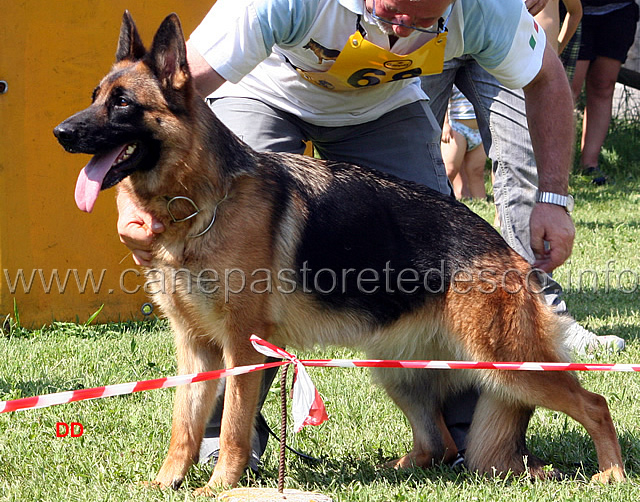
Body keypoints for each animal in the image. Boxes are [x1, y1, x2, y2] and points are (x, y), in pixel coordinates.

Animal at [55, 11, 624, 494]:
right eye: (95, 96)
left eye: (123, 104)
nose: (61, 133)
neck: (199, 202)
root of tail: (510, 254)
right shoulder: (197, 349)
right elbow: (185, 424)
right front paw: (168, 482)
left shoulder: (241, 349)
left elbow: (235, 425)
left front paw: (221, 486)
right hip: (398, 367)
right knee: (437, 441)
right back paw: (395, 469)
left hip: (507, 364)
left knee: (595, 403)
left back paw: (612, 474)